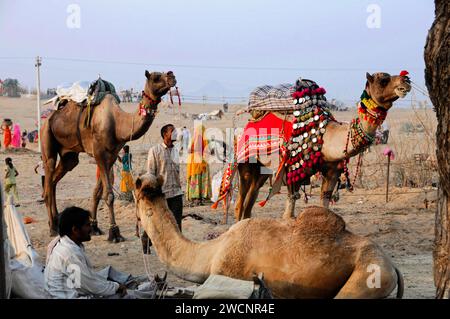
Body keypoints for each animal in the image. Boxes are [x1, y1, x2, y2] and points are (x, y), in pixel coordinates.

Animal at [40, 70, 177, 242]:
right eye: (155, 77)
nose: (172, 76)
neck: (118, 123)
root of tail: (50, 117)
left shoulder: (111, 155)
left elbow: (97, 192)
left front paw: (94, 227)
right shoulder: (99, 153)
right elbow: (109, 195)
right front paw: (114, 232)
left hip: (69, 156)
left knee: (54, 180)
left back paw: (56, 220)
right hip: (47, 137)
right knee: (49, 175)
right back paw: (52, 227)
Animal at [214, 72, 412, 222]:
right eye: (383, 79)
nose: (406, 80)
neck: (326, 136)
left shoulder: (332, 171)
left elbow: (325, 203)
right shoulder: (292, 169)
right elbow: (290, 211)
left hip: (263, 170)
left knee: (249, 202)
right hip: (247, 163)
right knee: (240, 203)